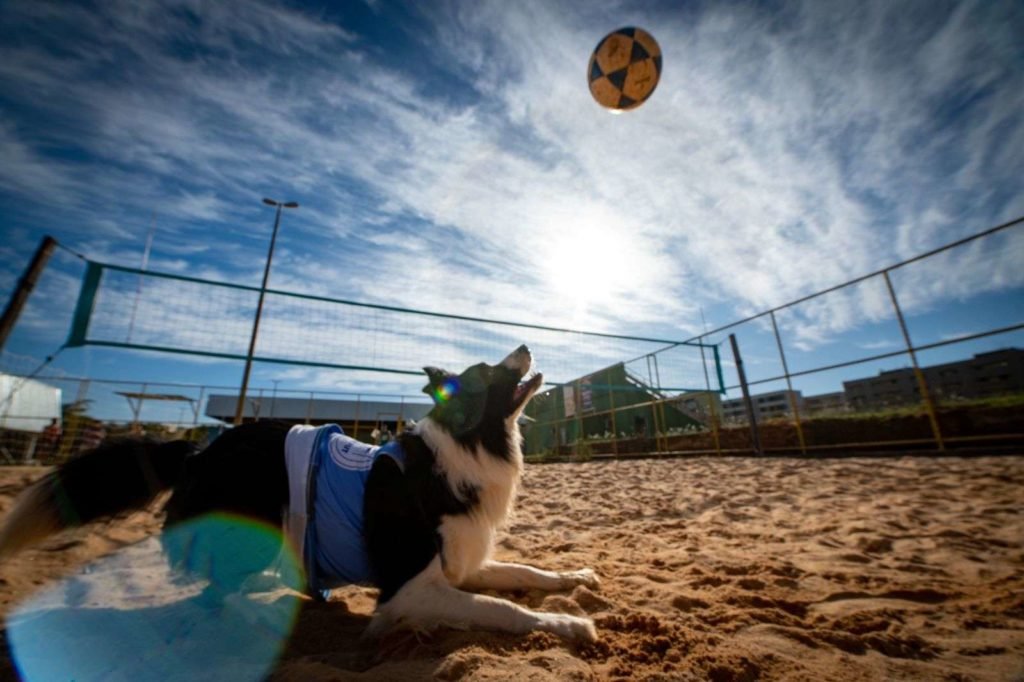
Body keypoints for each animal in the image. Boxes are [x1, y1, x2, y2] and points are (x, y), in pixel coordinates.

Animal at [0, 348, 598, 638]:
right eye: (490, 370)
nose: (524, 345)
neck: (463, 449)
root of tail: (199, 451)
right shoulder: (407, 589)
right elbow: (500, 607)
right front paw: (566, 624)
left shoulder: (457, 564)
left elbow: (525, 573)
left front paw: (575, 579)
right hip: (258, 521)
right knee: (219, 595)